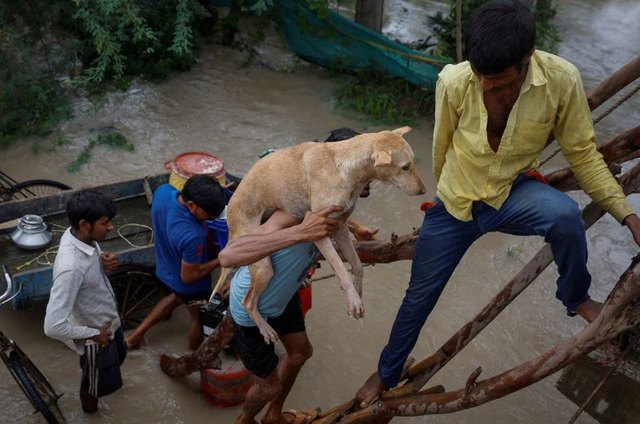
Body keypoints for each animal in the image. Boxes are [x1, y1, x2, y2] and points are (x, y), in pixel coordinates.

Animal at [212, 126, 428, 344]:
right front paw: (353, 298)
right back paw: (264, 327)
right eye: (405, 167)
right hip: (263, 266)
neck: (345, 169)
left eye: (412, 163)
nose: (423, 190)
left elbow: (358, 266)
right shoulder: (320, 232)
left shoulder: (340, 227)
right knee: (247, 301)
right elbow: (341, 268)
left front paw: (357, 290)